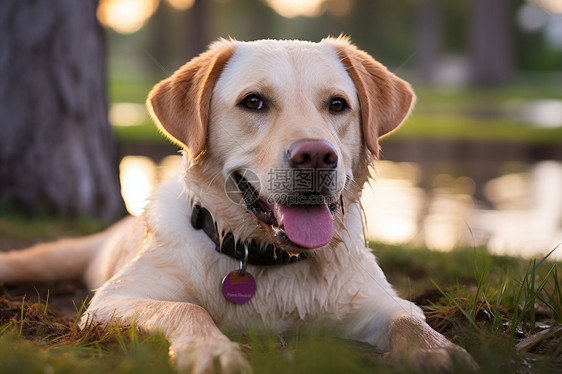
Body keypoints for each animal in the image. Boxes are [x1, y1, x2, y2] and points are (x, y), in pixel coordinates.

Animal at [0, 37, 474, 372]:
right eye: (254, 102)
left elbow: (409, 319)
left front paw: (438, 351)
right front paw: (212, 352)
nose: (317, 157)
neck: (263, 259)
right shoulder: (113, 300)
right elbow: (185, 308)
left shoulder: (377, 302)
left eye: (338, 104)